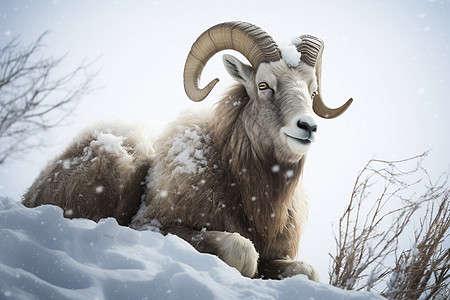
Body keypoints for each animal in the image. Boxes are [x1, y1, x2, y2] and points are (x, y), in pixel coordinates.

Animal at [22, 21, 352, 282]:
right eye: (263, 85)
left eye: (312, 91)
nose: (308, 127)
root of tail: (33, 191)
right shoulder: (155, 227)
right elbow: (243, 252)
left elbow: (307, 271)